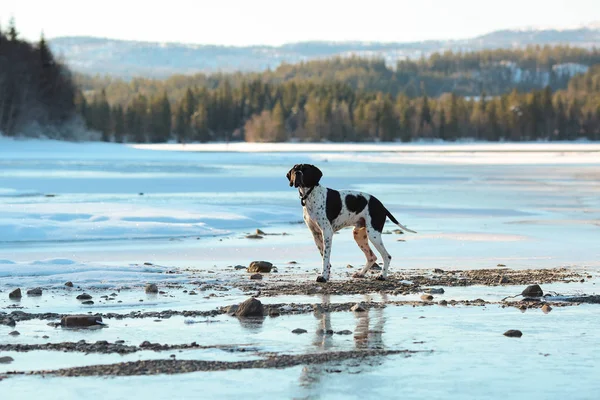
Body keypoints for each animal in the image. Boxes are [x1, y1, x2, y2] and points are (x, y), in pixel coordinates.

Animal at [288, 164, 418, 282]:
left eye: (305, 169)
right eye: (295, 169)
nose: (298, 173)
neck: (311, 195)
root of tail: (382, 206)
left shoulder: (327, 233)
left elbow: (325, 257)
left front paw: (324, 277)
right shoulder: (316, 234)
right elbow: (324, 256)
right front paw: (326, 275)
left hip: (373, 234)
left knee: (387, 256)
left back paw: (382, 276)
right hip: (359, 235)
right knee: (372, 257)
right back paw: (361, 274)